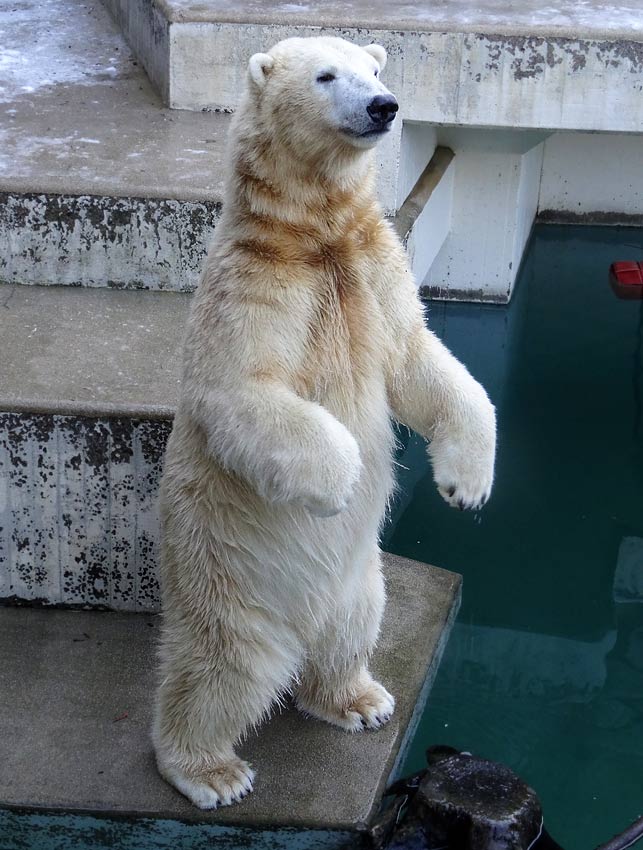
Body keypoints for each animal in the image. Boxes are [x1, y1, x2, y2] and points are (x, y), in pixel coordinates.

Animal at [152, 34, 498, 808]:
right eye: (325, 75)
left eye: (375, 70)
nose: (383, 106)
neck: (311, 237)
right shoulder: (254, 284)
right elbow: (240, 388)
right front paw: (338, 485)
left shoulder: (373, 268)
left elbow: (417, 359)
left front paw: (466, 486)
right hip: (232, 582)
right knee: (223, 672)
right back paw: (210, 771)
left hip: (362, 582)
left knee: (348, 633)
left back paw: (357, 699)